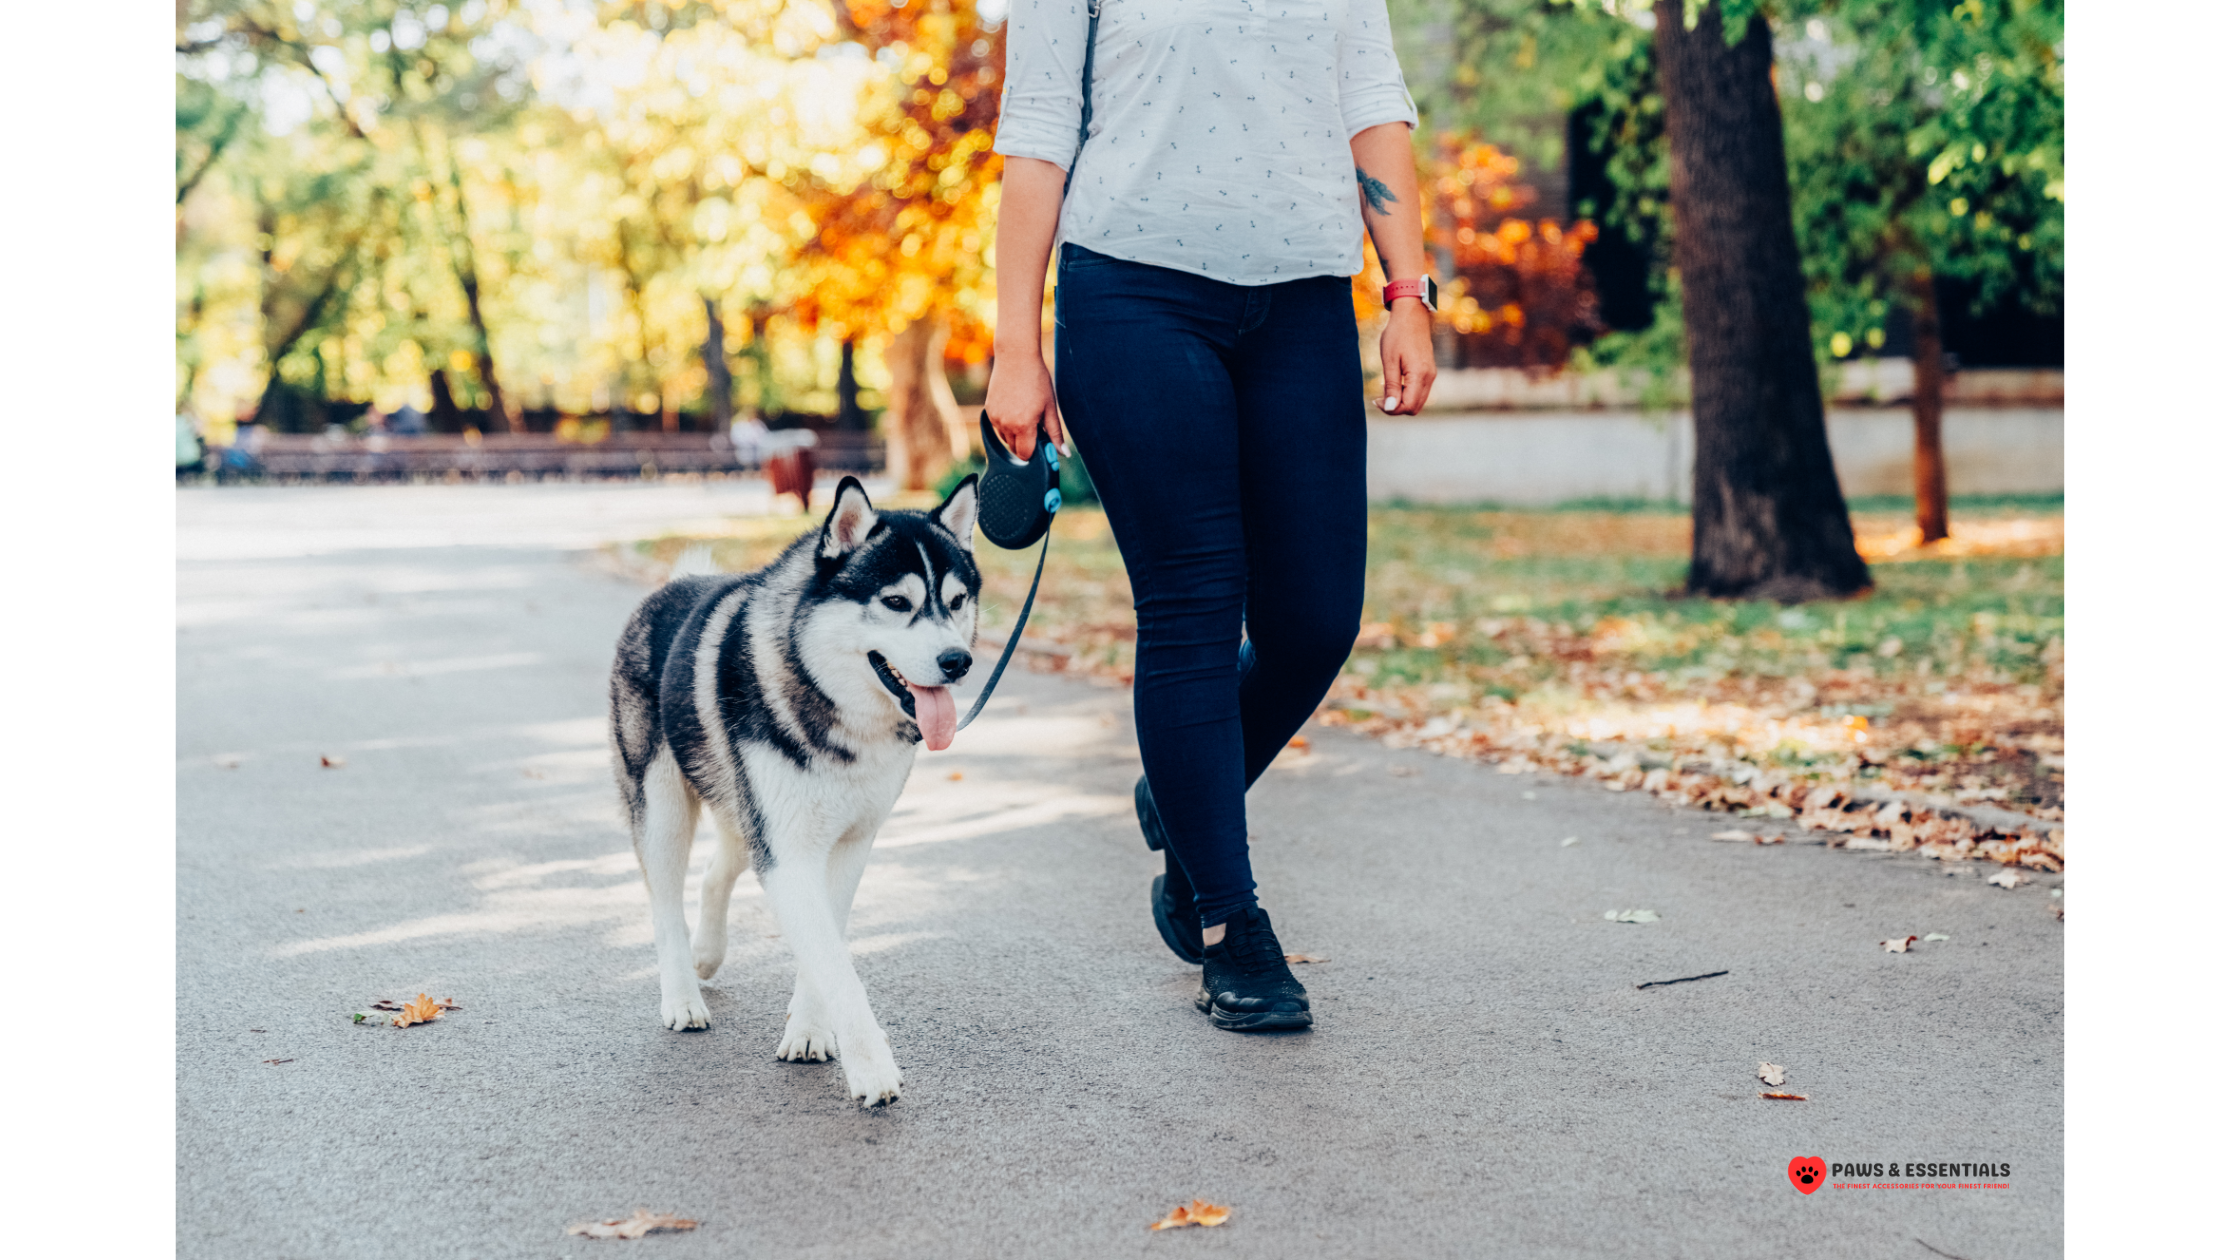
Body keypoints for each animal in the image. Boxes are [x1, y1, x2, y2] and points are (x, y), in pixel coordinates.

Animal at [609, 475, 976, 1103]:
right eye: (896, 603)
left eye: (955, 603)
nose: (959, 660)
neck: (835, 713)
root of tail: (675, 585)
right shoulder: (787, 853)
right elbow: (834, 962)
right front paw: (872, 1068)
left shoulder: (847, 845)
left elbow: (824, 949)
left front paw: (809, 1031)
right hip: (663, 809)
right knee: (664, 901)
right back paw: (683, 994)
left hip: (742, 812)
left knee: (715, 872)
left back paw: (708, 954)